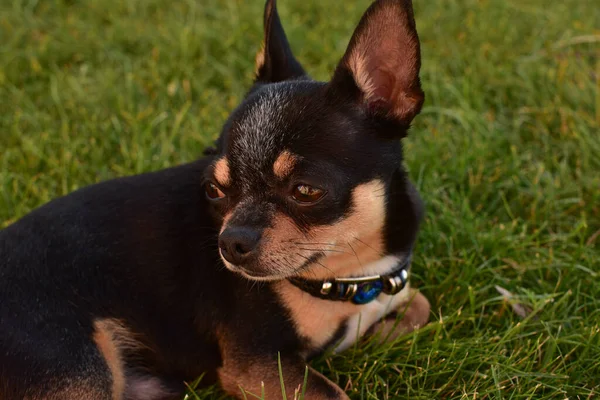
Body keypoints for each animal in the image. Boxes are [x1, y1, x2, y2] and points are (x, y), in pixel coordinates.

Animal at [0, 0, 432, 398]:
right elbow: (333, 391)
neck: (350, 275)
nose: (230, 242)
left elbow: (421, 305)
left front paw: (375, 334)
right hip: (79, 370)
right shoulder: (259, 365)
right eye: (214, 190)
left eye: (306, 190)